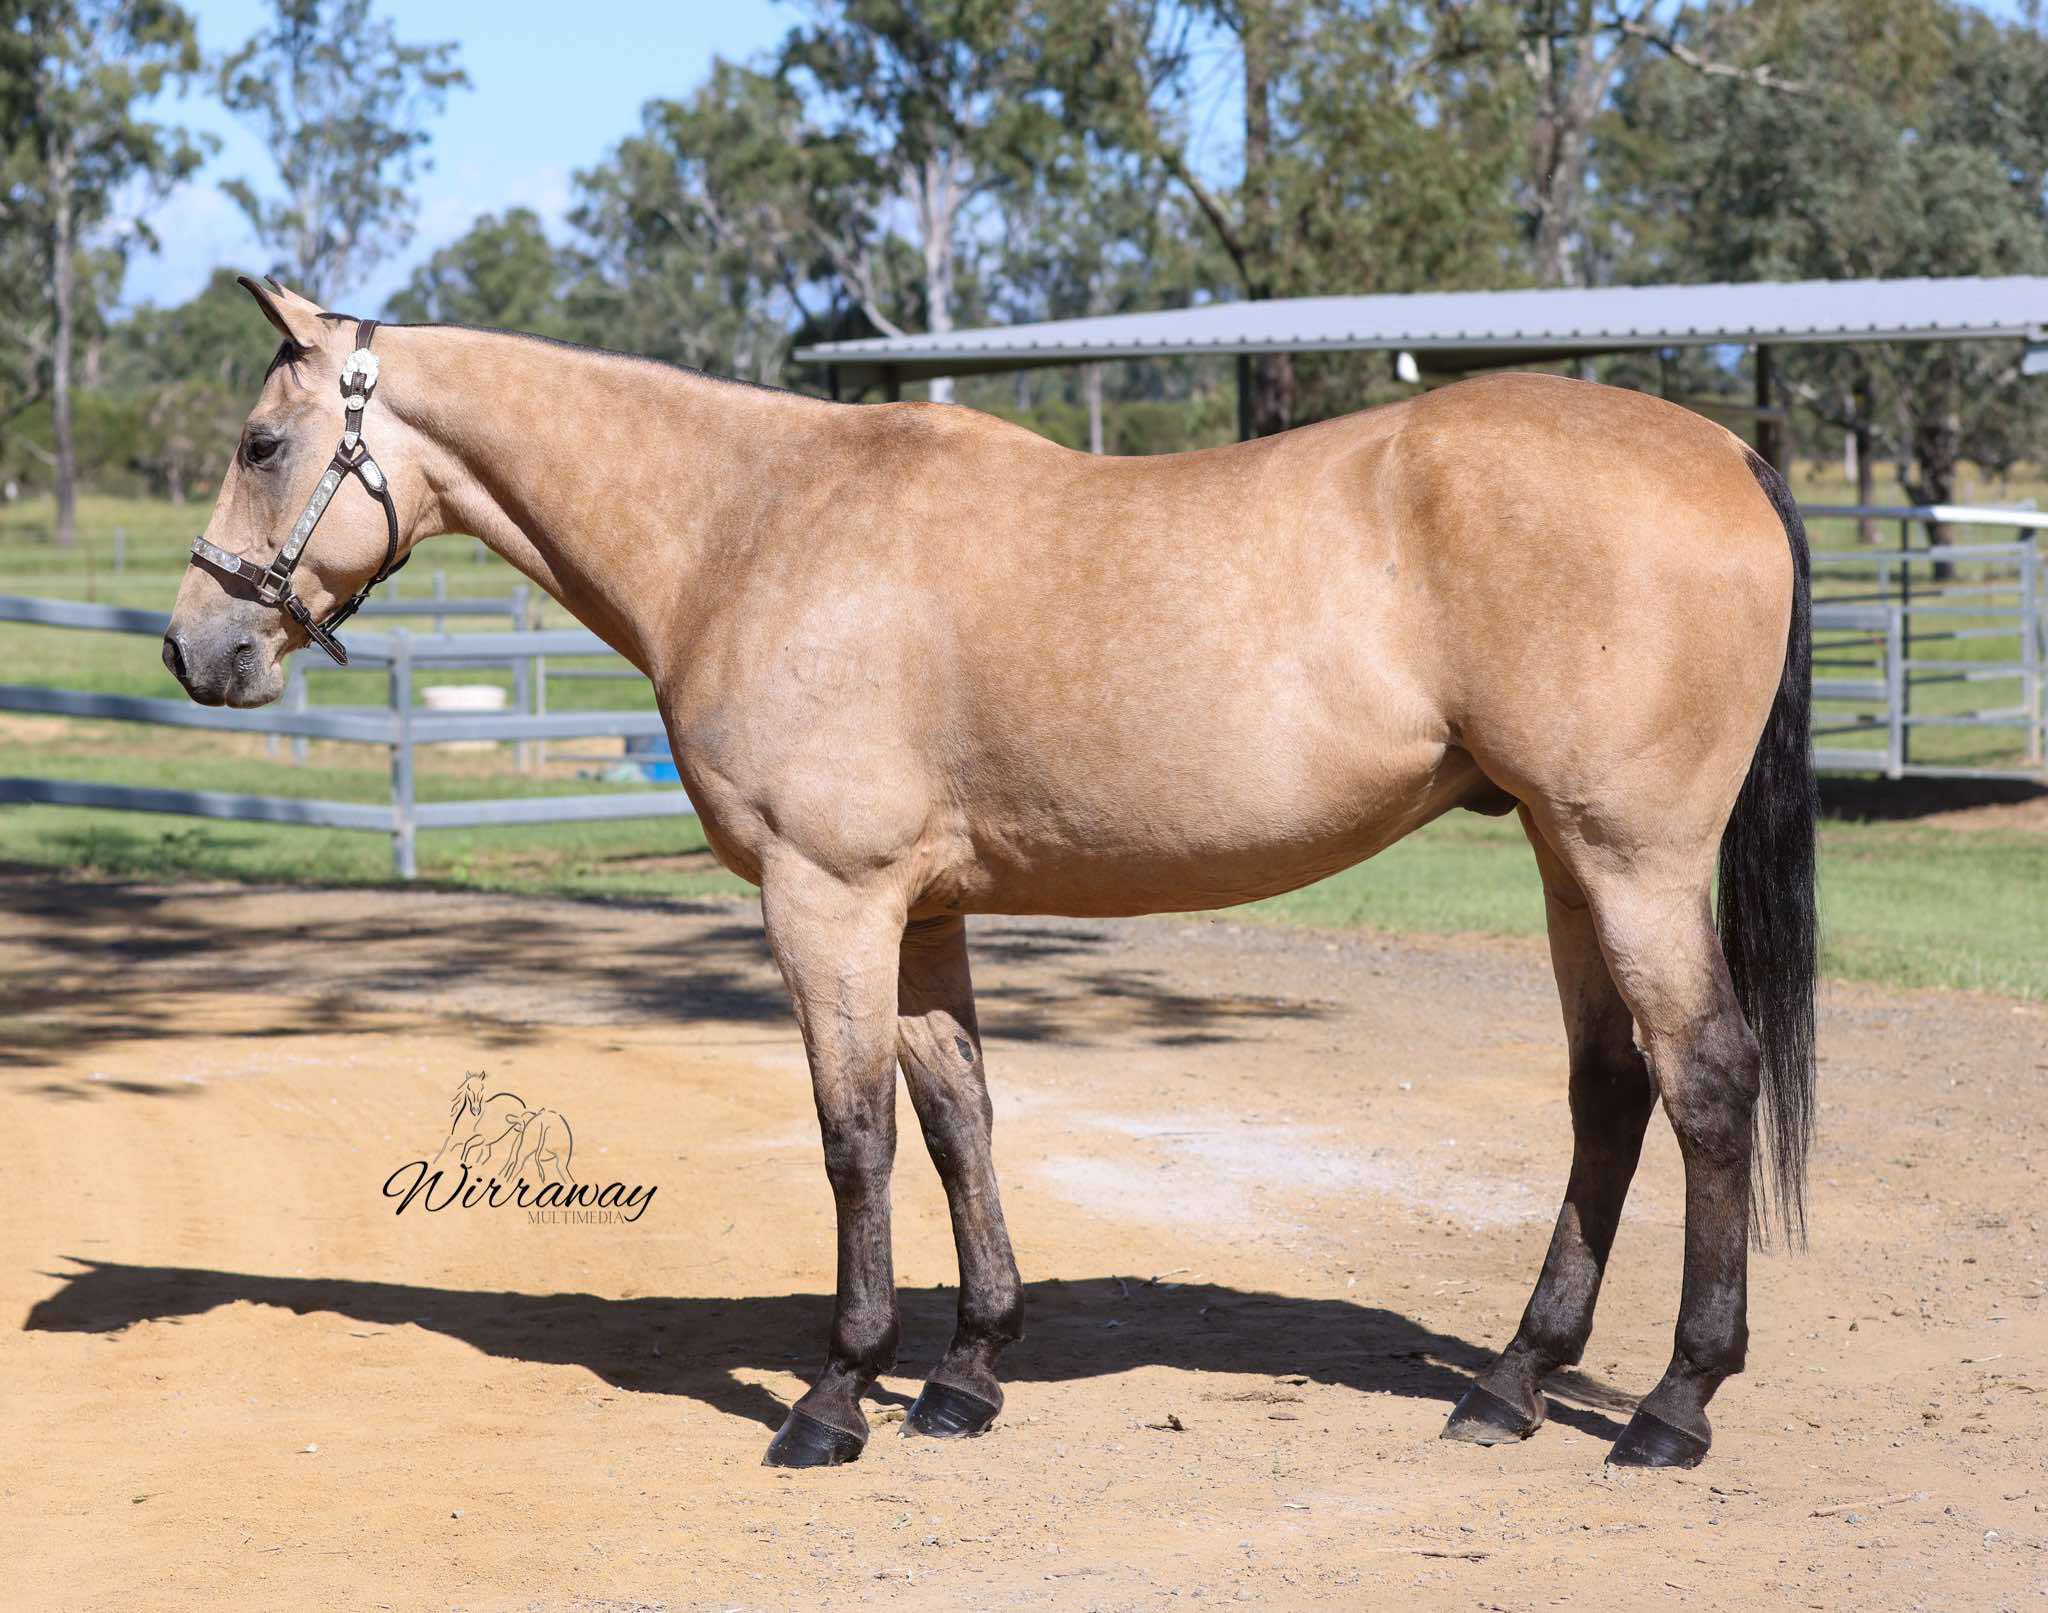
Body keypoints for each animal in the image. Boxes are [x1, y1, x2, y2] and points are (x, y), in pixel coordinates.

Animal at [164, 277, 1817, 1473]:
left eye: (260, 445)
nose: (196, 648)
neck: (747, 524)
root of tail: (1725, 450)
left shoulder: (825, 898)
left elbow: (856, 1142)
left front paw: (835, 1397)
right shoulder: (922, 911)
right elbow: (960, 1121)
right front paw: (966, 1375)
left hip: (1628, 854)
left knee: (1706, 1080)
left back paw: (1674, 1405)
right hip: (1559, 851)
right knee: (1609, 1089)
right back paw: (1512, 1382)